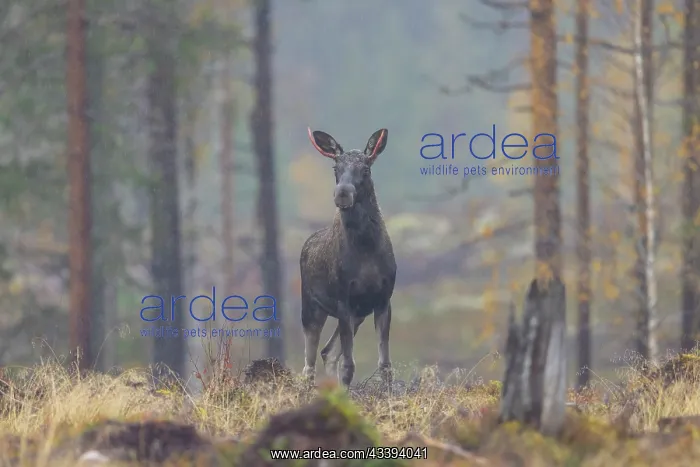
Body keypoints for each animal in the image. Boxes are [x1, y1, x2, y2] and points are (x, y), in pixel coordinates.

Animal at [300, 127, 396, 388]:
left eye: (366, 169)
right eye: (336, 168)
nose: (343, 193)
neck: (366, 251)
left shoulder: (383, 299)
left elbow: (385, 364)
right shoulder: (344, 300)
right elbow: (349, 365)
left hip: (358, 314)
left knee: (327, 352)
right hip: (311, 306)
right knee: (309, 363)